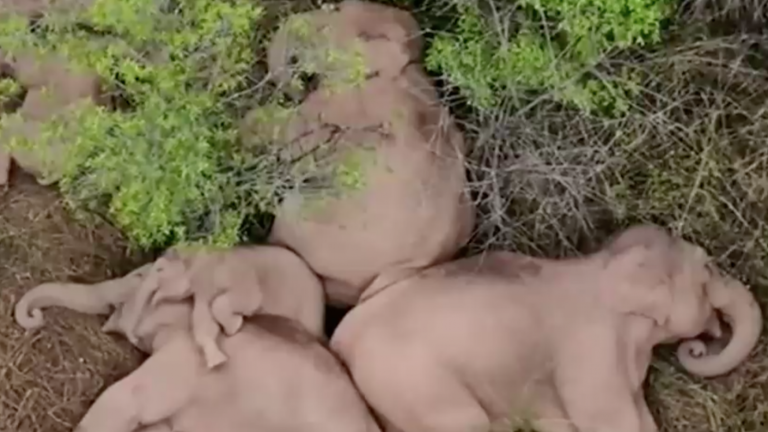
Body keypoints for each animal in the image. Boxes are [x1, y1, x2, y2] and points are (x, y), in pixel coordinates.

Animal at [115, 244, 325, 368]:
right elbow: (201, 321)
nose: (134, 339)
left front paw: (234, 328)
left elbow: (246, 300)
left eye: (159, 269)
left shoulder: (237, 274)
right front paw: (216, 362)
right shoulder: (201, 290)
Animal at [329, 224, 763, 432]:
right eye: (707, 267)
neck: (606, 263)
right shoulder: (591, 350)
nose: (698, 346)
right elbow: (611, 423)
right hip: (415, 384)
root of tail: (341, 339)